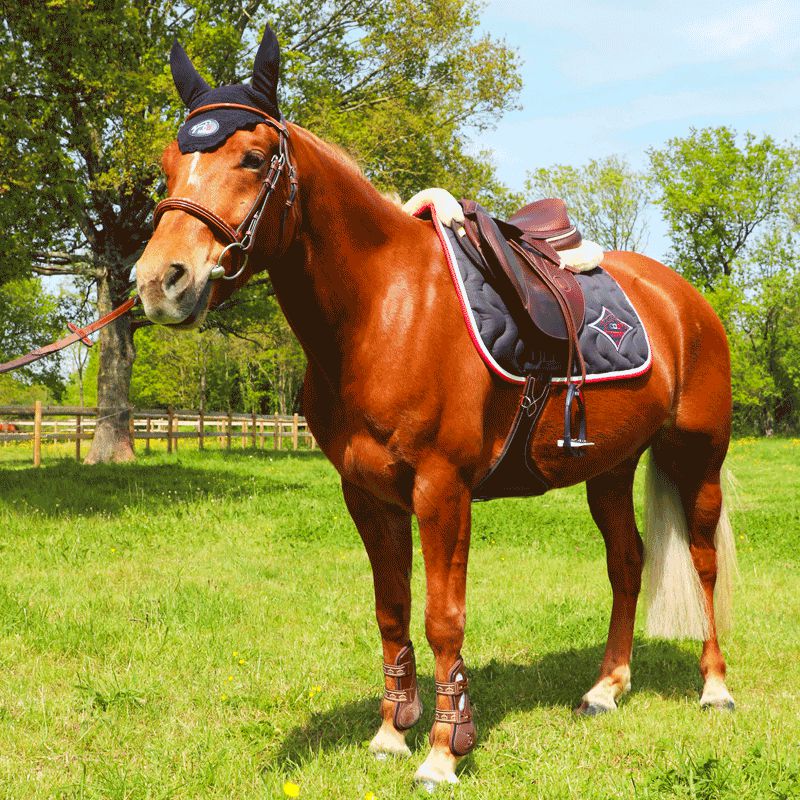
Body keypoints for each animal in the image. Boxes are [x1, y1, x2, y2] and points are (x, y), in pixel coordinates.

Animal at [133, 25, 736, 788]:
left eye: (254, 156)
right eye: (167, 163)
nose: (160, 281)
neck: (384, 310)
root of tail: (685, 301)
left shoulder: (442, 491)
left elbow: (444, 617)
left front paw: (446, 750)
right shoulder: (368, 494)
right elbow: (392, 611)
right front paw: (393, 731)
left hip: (698, 456)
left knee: (703, 559)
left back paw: (715, 687)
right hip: (609, 466)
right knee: (627, 562)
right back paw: (607, 687)